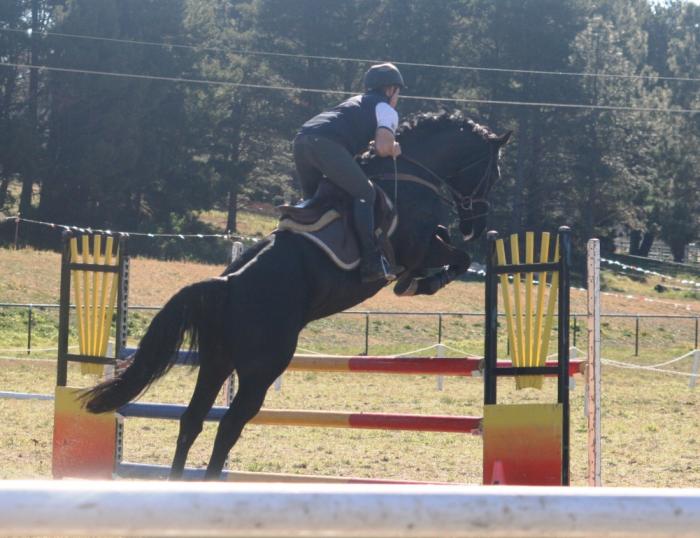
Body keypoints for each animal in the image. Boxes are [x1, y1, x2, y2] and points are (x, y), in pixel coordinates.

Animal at [83, 110, 511, 480]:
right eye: (492, 174)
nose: (476, 227)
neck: (410, 175)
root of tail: (227, 284)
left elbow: (453, 250)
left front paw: (423, 278)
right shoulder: (418, 248)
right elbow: (456, 257)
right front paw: (421, 283)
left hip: (218, 362)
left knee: (192, 420)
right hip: (262, 367)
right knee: (228, 425)